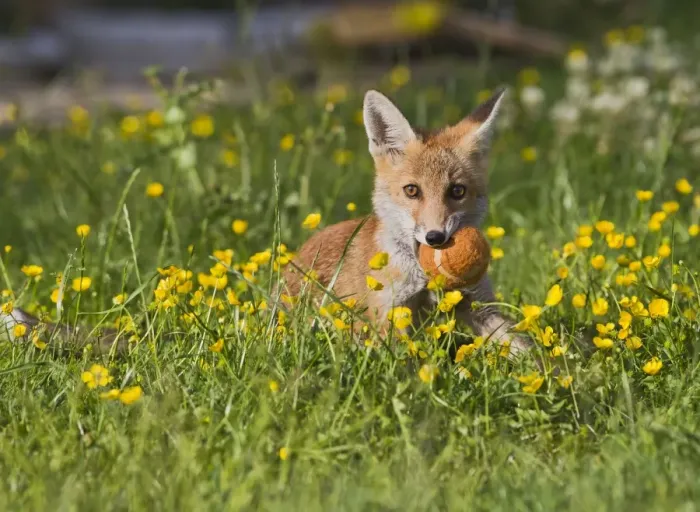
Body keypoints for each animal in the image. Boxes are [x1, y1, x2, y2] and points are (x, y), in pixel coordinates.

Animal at [282, 88, 532, 356]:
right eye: (412, 190)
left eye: (457, 191)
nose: (436, 238)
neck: (424, 279)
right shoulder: (390, 313)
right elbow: (404, 360)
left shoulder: (478, 304)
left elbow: (528, 349)